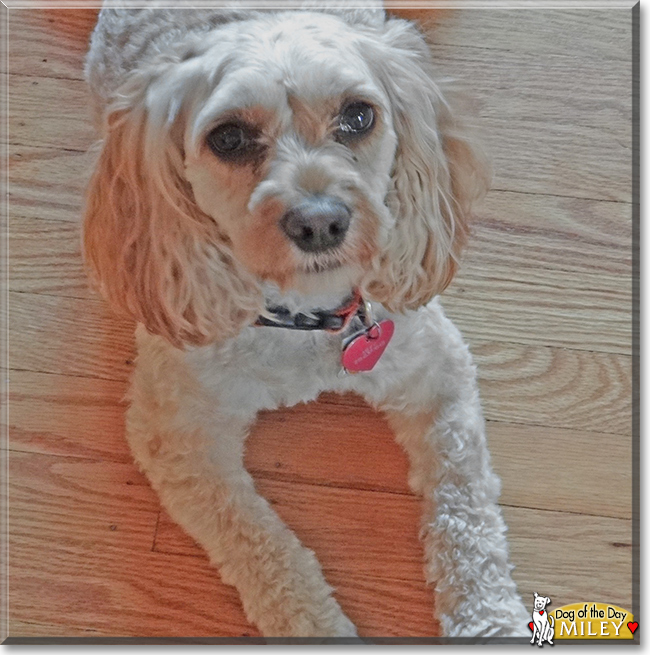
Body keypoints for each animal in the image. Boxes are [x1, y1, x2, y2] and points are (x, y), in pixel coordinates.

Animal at [82, 0, 528, 640]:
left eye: (359, 115)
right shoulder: (177, 436)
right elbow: (262, 546)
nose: (320, 222)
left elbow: (466, 515)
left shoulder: (438, 373)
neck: (308, 320)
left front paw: (489, 619)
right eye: (229, 138)